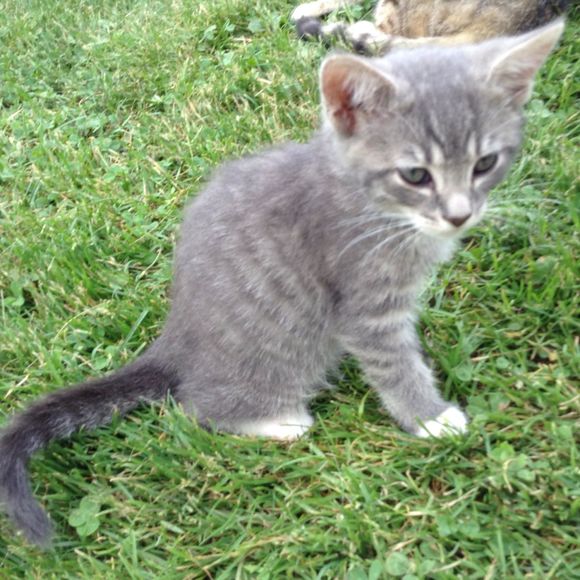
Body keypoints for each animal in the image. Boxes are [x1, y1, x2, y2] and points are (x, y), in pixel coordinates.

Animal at [0, 20, 564, 547]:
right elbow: (394, 364)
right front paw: (429, 418)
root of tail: (174, 340)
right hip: (276, 353)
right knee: (198, 409)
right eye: (415, 175)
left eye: (485, 163)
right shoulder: (363, 304)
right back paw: (278, 421)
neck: (373, 205)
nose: (459, 215)